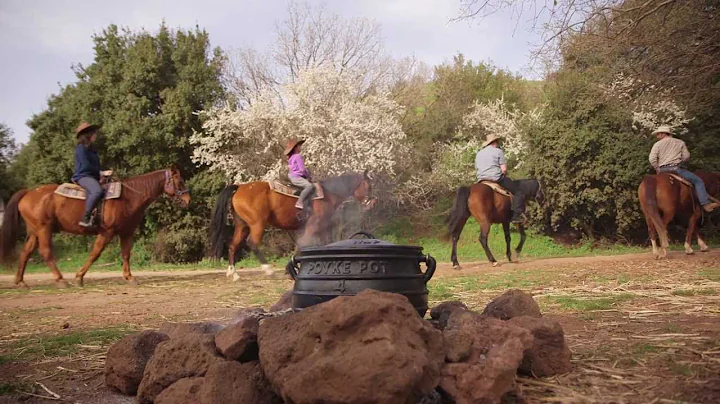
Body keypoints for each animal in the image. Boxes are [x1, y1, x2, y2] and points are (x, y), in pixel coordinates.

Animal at [0, 169, 190, 288]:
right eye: (179, 181)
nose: (188, 199)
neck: (129, 196)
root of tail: (28, 192)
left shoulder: (126, 232)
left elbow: (126, 254)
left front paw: (129, 277)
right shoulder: (107, 232)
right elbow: (95, 253)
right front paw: (79, 277)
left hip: (34, 232)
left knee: (25, 252)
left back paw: (21, 281)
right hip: (43, 229)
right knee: (46, 252)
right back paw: (61, 280)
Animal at [210, 171, 374, 280]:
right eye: (368, 186)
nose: (372, 202)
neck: (327, 195)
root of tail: (239, 187)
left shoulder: (322, 227)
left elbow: (324, 243)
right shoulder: (313, 226)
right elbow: (302, 244)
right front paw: (290, 269)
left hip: (242, 226)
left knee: (233, 245)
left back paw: (233, 273)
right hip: (257, 224)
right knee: (252, 243)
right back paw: (268, 270)